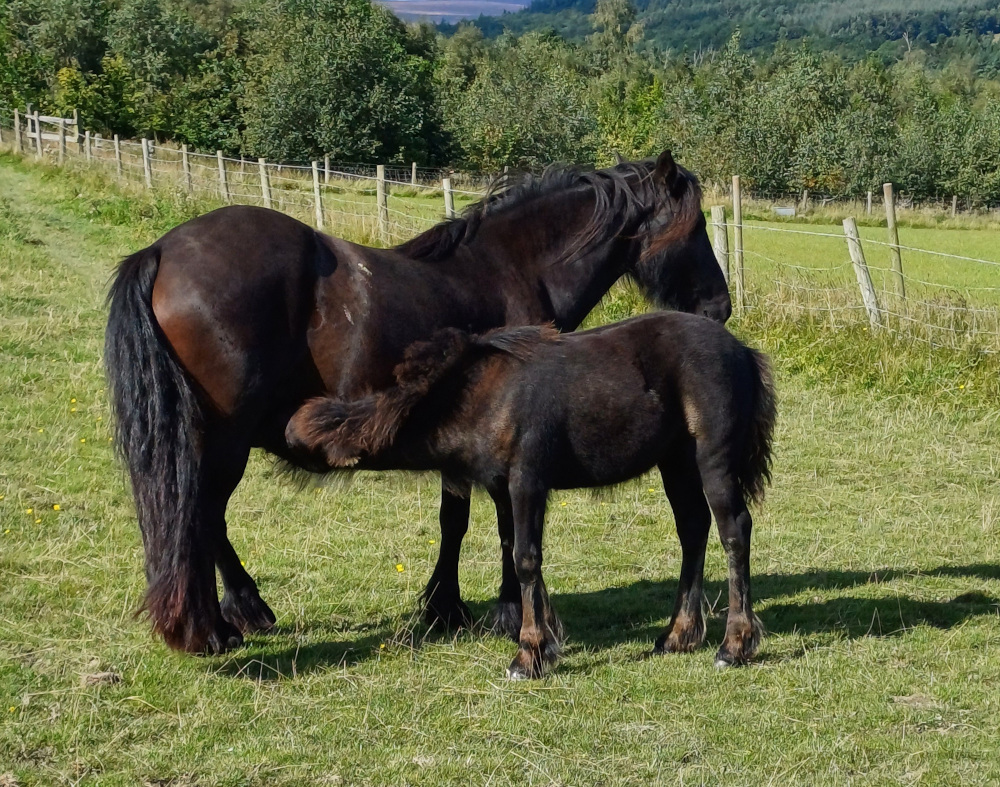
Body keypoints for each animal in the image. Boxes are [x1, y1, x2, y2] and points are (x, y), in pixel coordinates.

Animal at [286, 312, 776, 676]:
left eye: (317, 441)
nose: (286, 435)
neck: (484, 394)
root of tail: (743, 351)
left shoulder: (528, 480)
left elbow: (524, 559)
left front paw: (529, 655)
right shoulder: (503, 488)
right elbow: (517, 553)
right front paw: (544, 638)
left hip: (712, 461)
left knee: (734, 531)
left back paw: (734, 646)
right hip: (675, 463)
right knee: (693, 530)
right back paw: (677, 635)